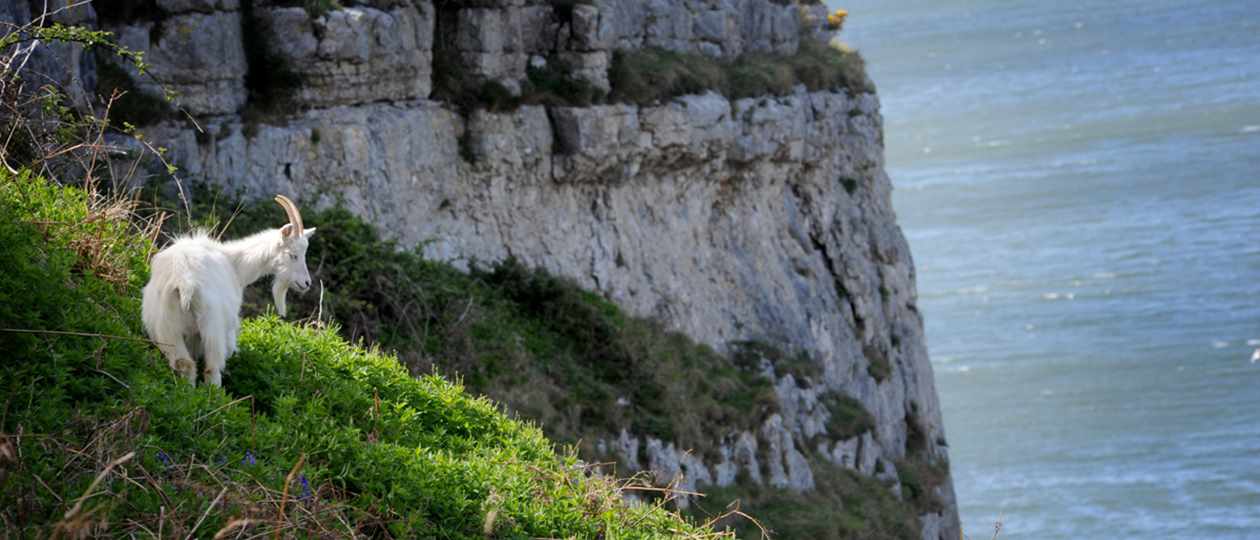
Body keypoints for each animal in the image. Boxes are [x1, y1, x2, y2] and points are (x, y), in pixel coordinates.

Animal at [142, 195, 316, 386]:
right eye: (293, 255)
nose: (306, 283)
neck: (235, 264)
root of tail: (184, 282)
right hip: (213, 327)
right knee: (212, 368)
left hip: (166, 326)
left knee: (185, 363)